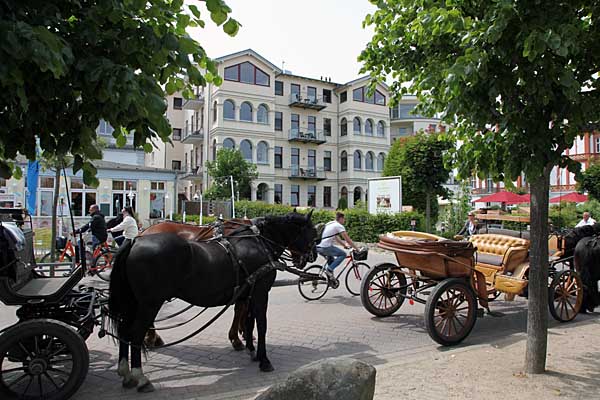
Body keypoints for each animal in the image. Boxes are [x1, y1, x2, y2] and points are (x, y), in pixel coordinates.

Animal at [107, 211, 316, 392]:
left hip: (133, 302)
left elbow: (248, 320)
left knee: (124, 331)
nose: (312, 256)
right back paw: (141, 375)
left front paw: (250, 348)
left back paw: (127, 372)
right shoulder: (260, 291)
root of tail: (135, 240)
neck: (258, 242)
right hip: (149, 303)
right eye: (313, 233)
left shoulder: (248, 293)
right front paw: (263, 359)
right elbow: (261, 324)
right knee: (135, 333)